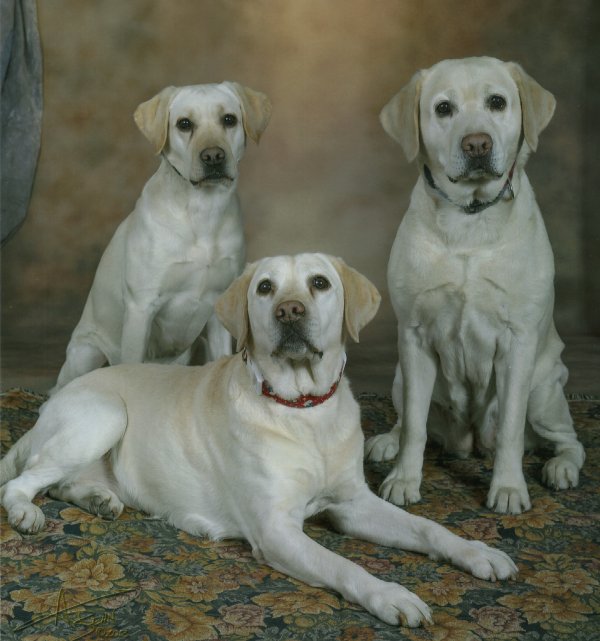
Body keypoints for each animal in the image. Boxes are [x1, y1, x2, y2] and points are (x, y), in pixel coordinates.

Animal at [51, 82, 272, 392]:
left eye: (229, 119)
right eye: (184, 124)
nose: (213, 156)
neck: (202, 210)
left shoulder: (218, 310)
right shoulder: (140, 307)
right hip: (85, 353)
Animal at [368, 56, 584, 516]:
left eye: (497, 102)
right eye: (443, 108)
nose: (477, 144)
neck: (469, 219)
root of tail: (467, 444)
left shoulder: (518, 342)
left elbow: (511, 430)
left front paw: (508, 488)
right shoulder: (414, 336)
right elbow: (414, 426)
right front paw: (403, 480)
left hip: (545, 392)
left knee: (569, 440)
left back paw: (560, 467)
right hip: (399, 375)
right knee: (407, 419)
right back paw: (386, 442)